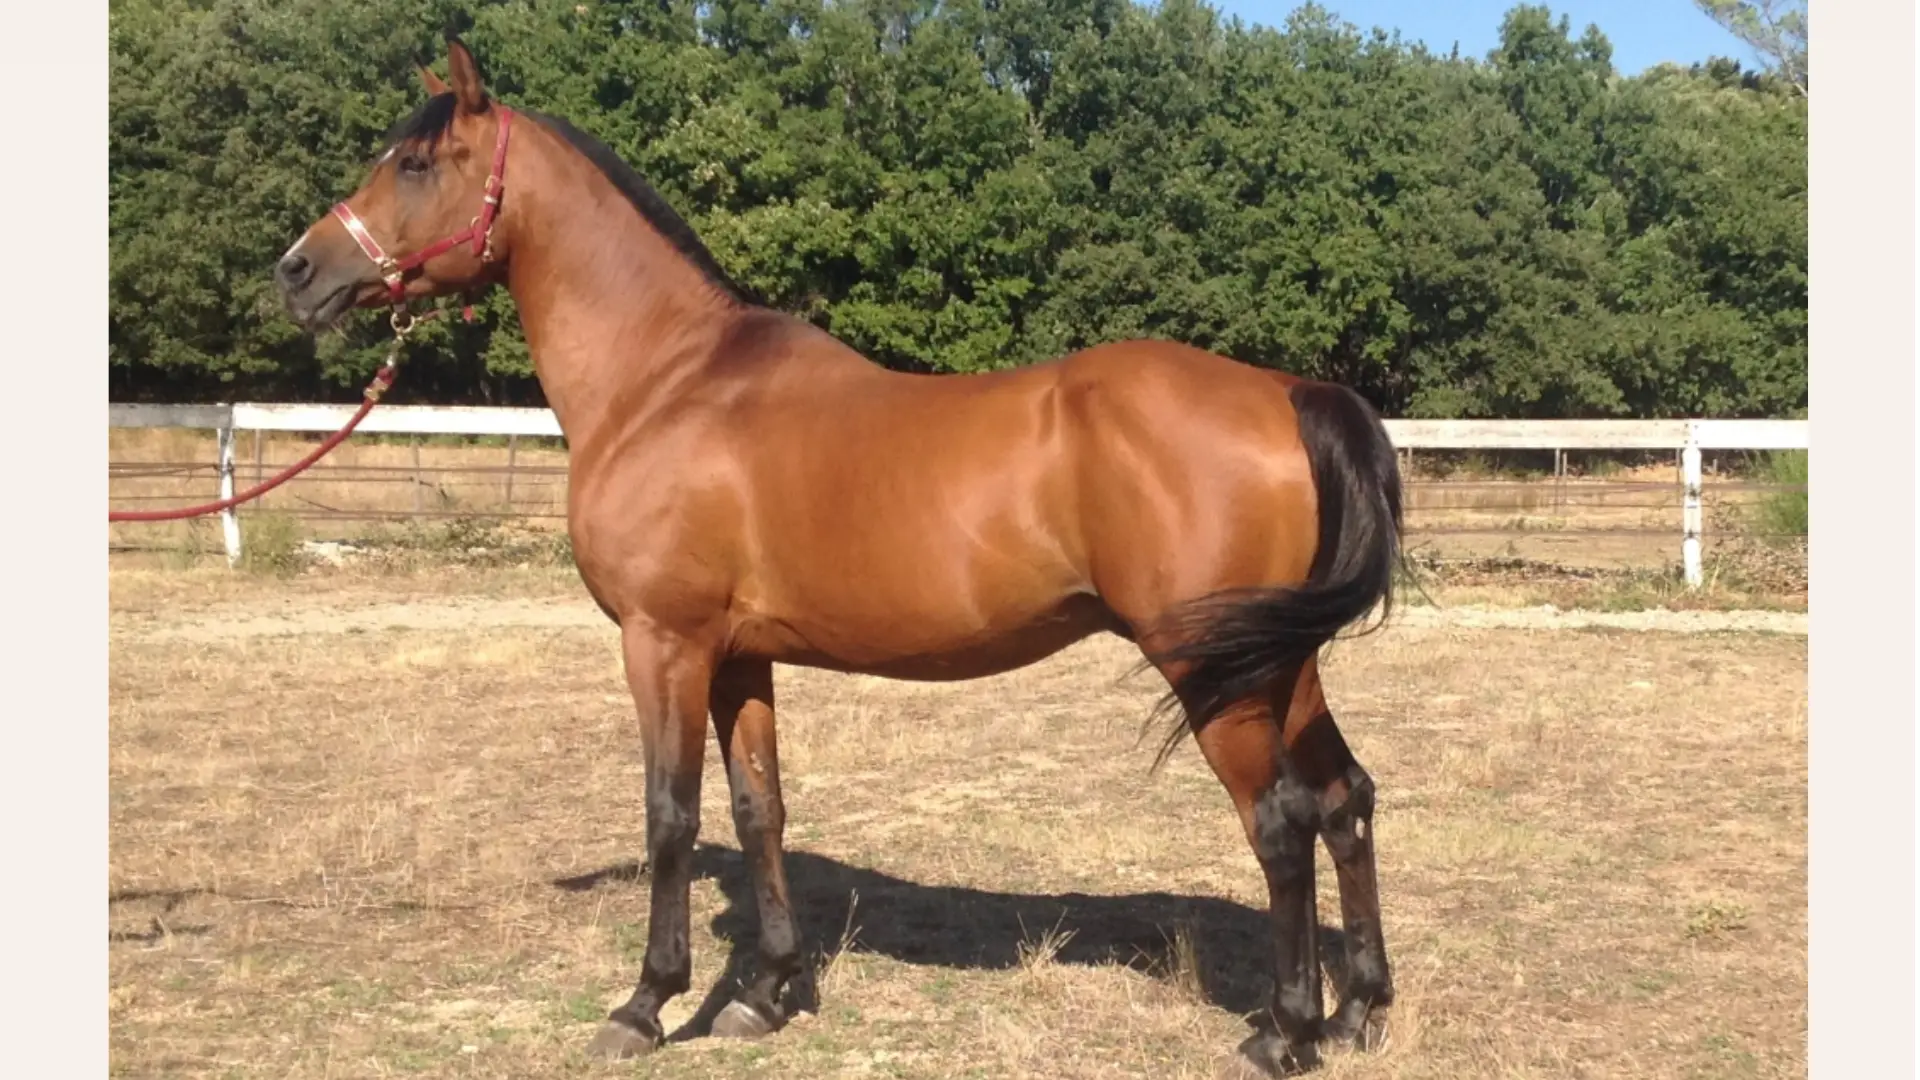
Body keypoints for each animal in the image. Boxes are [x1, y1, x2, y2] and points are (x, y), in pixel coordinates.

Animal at [273, 37, 1403, 1078]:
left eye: (417, 163)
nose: (298, 271)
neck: (667, 380)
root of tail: (1289, 393)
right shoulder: (739, 656)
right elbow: (758, 808)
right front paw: (765, 993)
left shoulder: (664, 643)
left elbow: (670, 815)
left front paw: (647, 1003)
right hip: (1282, 666)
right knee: (1345, 800)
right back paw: (1357, 1010)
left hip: (1217, 676)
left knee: (1281, 822)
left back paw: (1286, 1031)